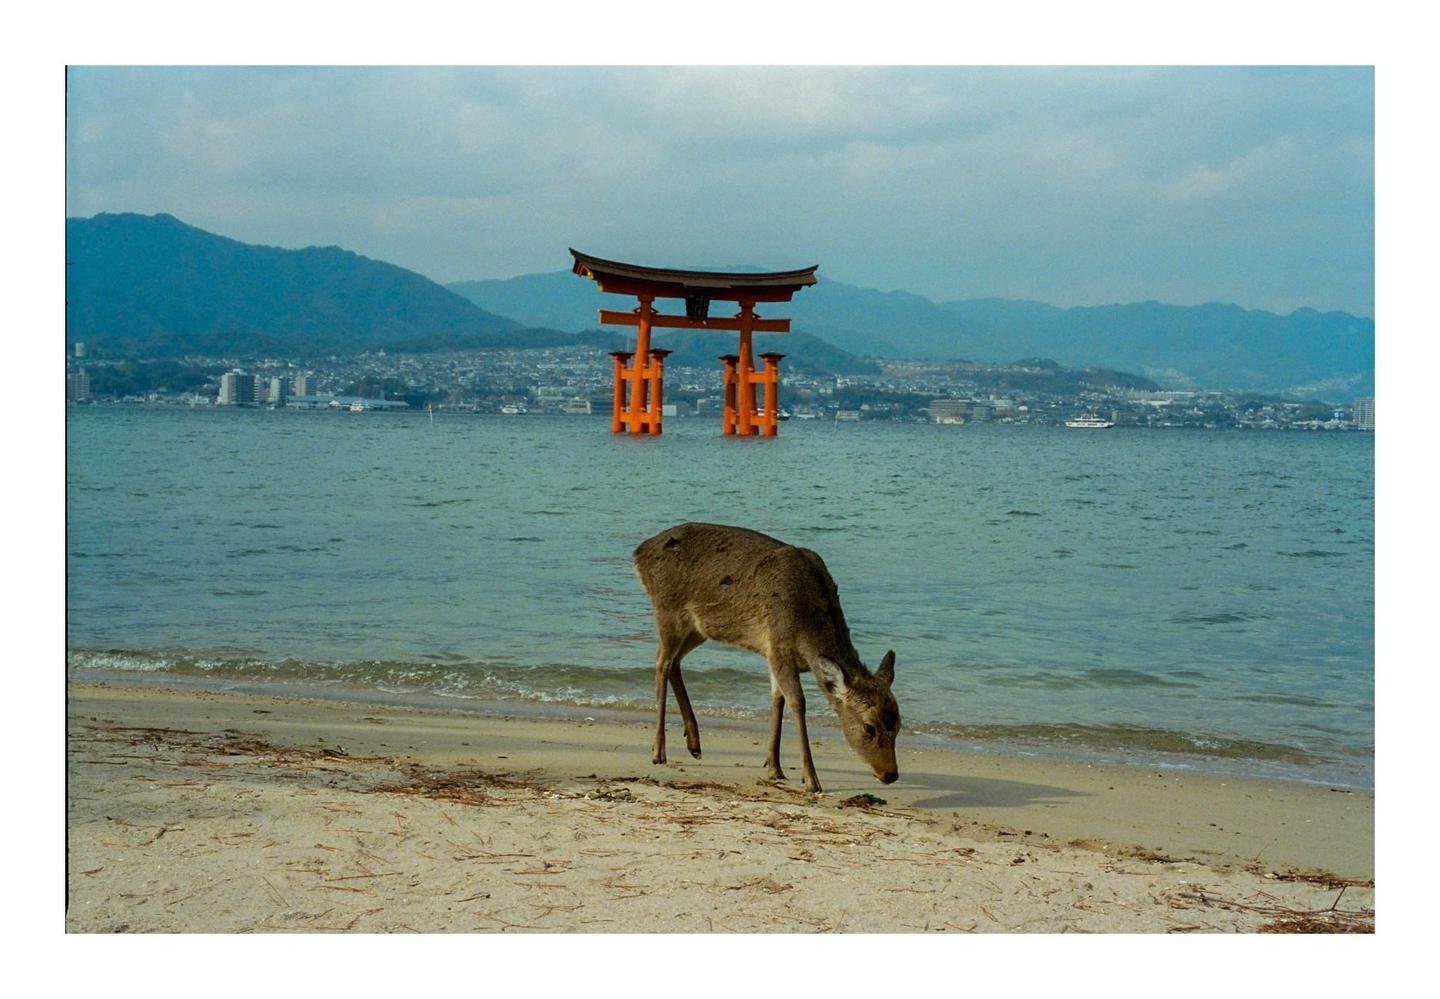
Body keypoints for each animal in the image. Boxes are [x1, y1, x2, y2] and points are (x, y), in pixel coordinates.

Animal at [632, 522, 901, 793]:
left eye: (898, 724)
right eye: (869, 727)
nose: (891, 774)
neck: (806, 629)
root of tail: (639, 553)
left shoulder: (773, 653)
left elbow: (777, 700)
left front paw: (774, 767)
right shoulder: (779, 648)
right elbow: (797, 702)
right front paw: (811, 779)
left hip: (700, 628)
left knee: (674, 662)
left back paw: (694, 744)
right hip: (668, 611)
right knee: (662, 663)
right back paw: (658, 750)